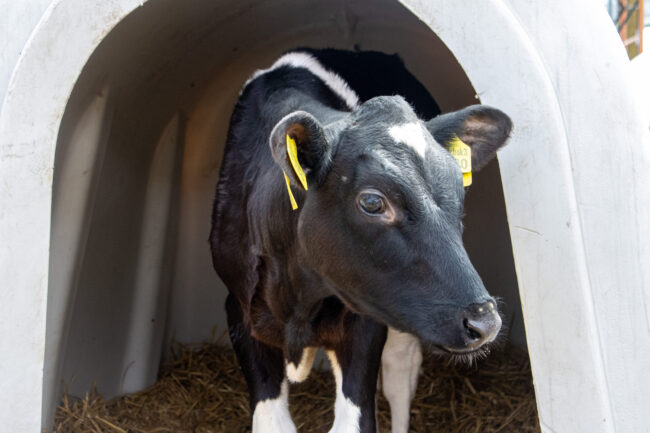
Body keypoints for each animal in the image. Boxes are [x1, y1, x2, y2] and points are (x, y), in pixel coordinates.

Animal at [210, 48, 511, 433]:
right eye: (372, 202)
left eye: (460, 190)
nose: (484, 322)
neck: (298, 302)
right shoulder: (239, 310)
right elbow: (272, 423)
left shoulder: (363, 325)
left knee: (400, 373)